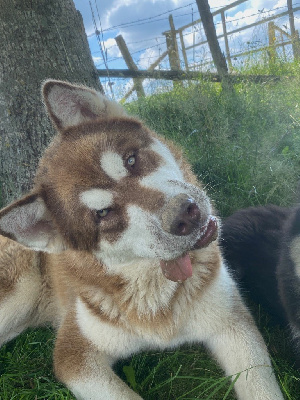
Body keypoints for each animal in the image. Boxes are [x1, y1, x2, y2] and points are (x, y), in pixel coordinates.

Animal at [0, 79, 284, 398]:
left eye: (131, 160)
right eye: (103, 213)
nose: (184, 215)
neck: (153, 287)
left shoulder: (231, 322)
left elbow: (261, 387)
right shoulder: (75, 355)